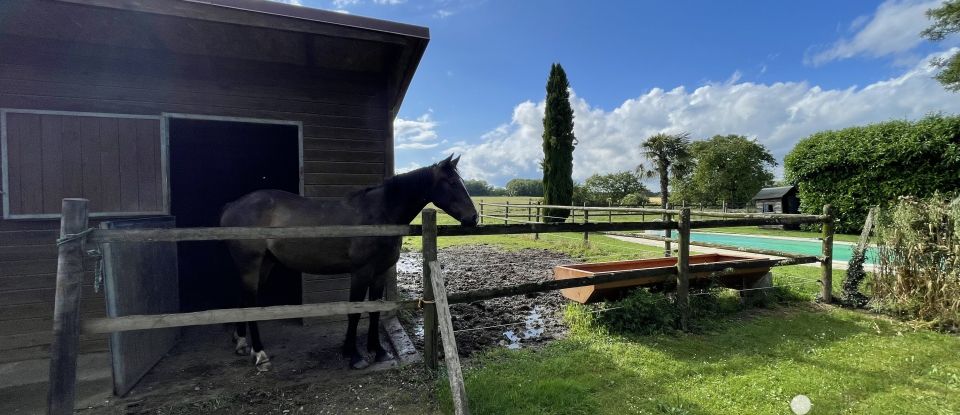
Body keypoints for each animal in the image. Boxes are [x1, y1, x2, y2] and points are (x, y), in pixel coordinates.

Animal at [220, 156, 476, 370]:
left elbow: (374, 311)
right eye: (452, 183)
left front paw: (378, 350)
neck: (379, 215)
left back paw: (241, 343)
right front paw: (353, 355)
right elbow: (355, 312)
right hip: (251, 265)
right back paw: (260, 354)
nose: (473, 218)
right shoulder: (361, 273)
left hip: (265, 265)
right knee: (250, 302)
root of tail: (232, 206)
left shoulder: (380, 273)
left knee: (246, 299)